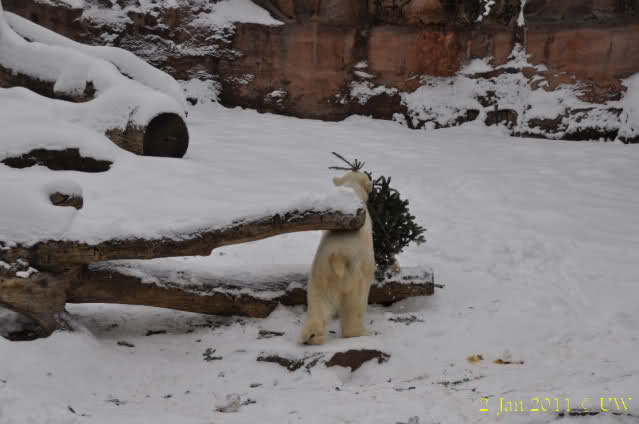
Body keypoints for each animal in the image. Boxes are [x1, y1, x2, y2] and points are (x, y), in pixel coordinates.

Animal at [299, 171, 375, 345]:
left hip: (321, 272)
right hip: (353, 274)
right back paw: (360, 332)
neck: (351, 190)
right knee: (355, 302)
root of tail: (338, 257)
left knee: (318, 300)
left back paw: (311, 336)